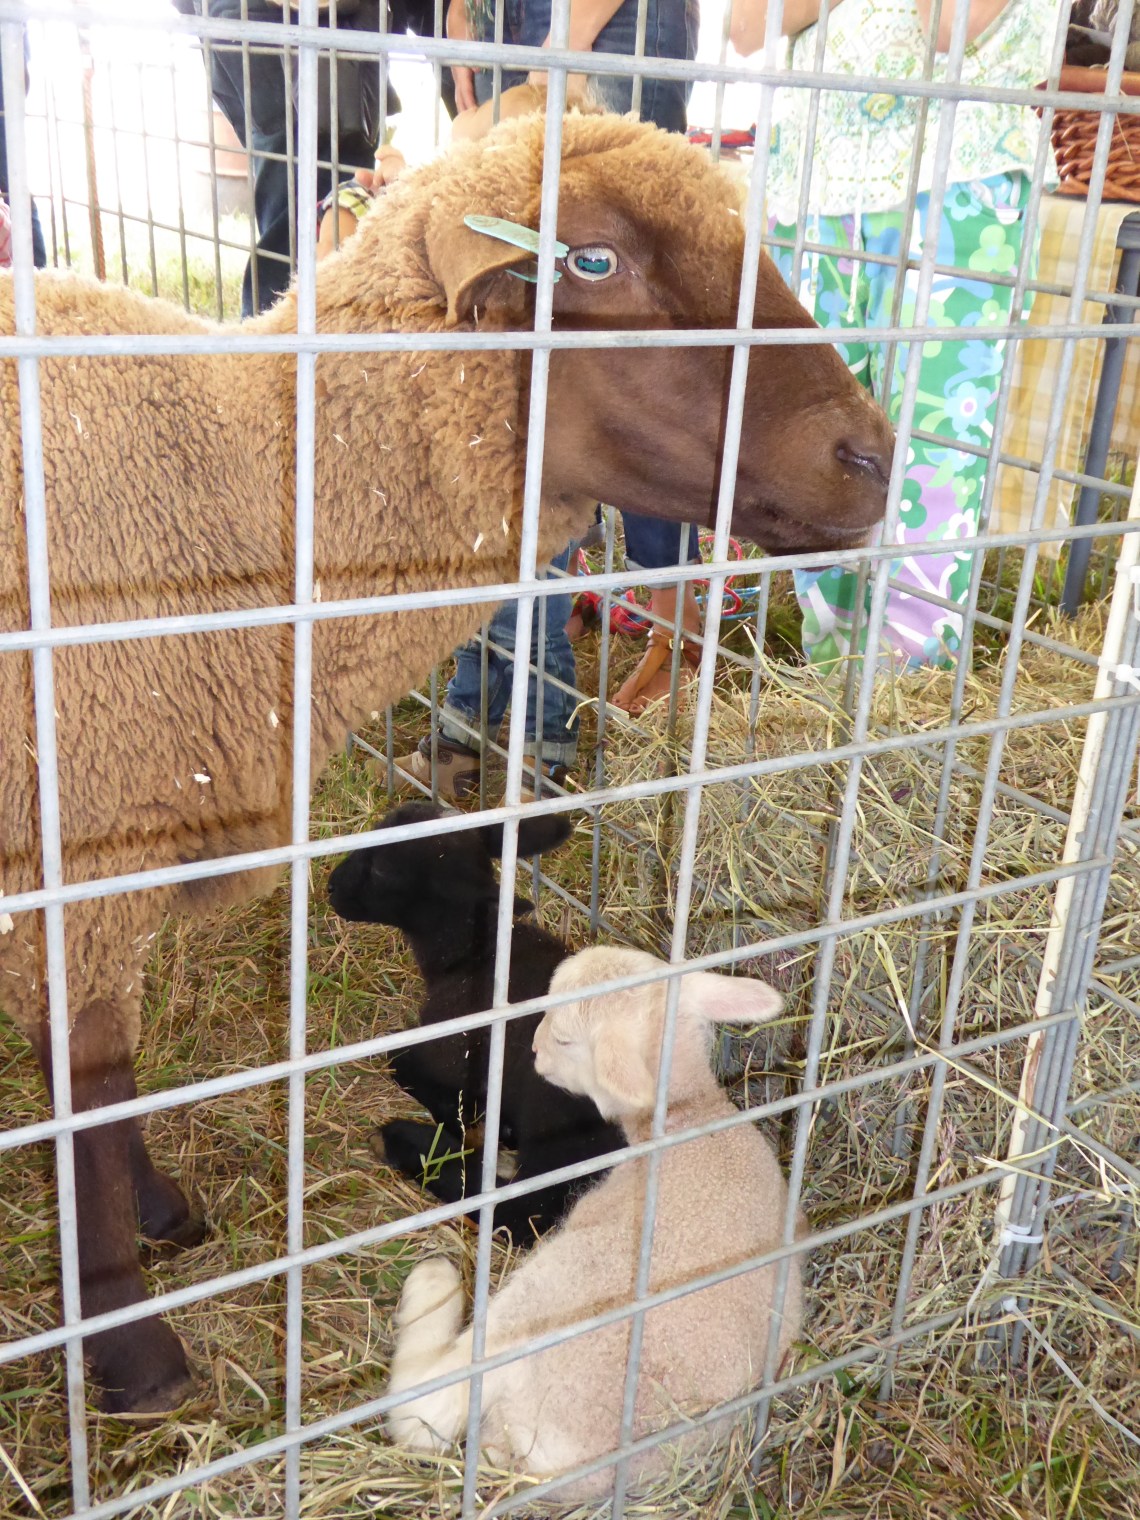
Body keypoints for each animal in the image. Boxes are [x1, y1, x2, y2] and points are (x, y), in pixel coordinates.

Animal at [326, 801, 624, 1239]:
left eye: (382, 869)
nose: (330, 886)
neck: (475, 954)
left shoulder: (449, 1049)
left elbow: (399, 1061)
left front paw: (458, 1117)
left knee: (519, 1214)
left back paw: (404, 1141)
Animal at [385, 944, 802, 1500]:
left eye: (564, 1038)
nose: (534, 1051)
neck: (691, 1117)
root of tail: (546, 1455)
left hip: (546, 1298)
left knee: (421, 1413)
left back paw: (435, 1280)